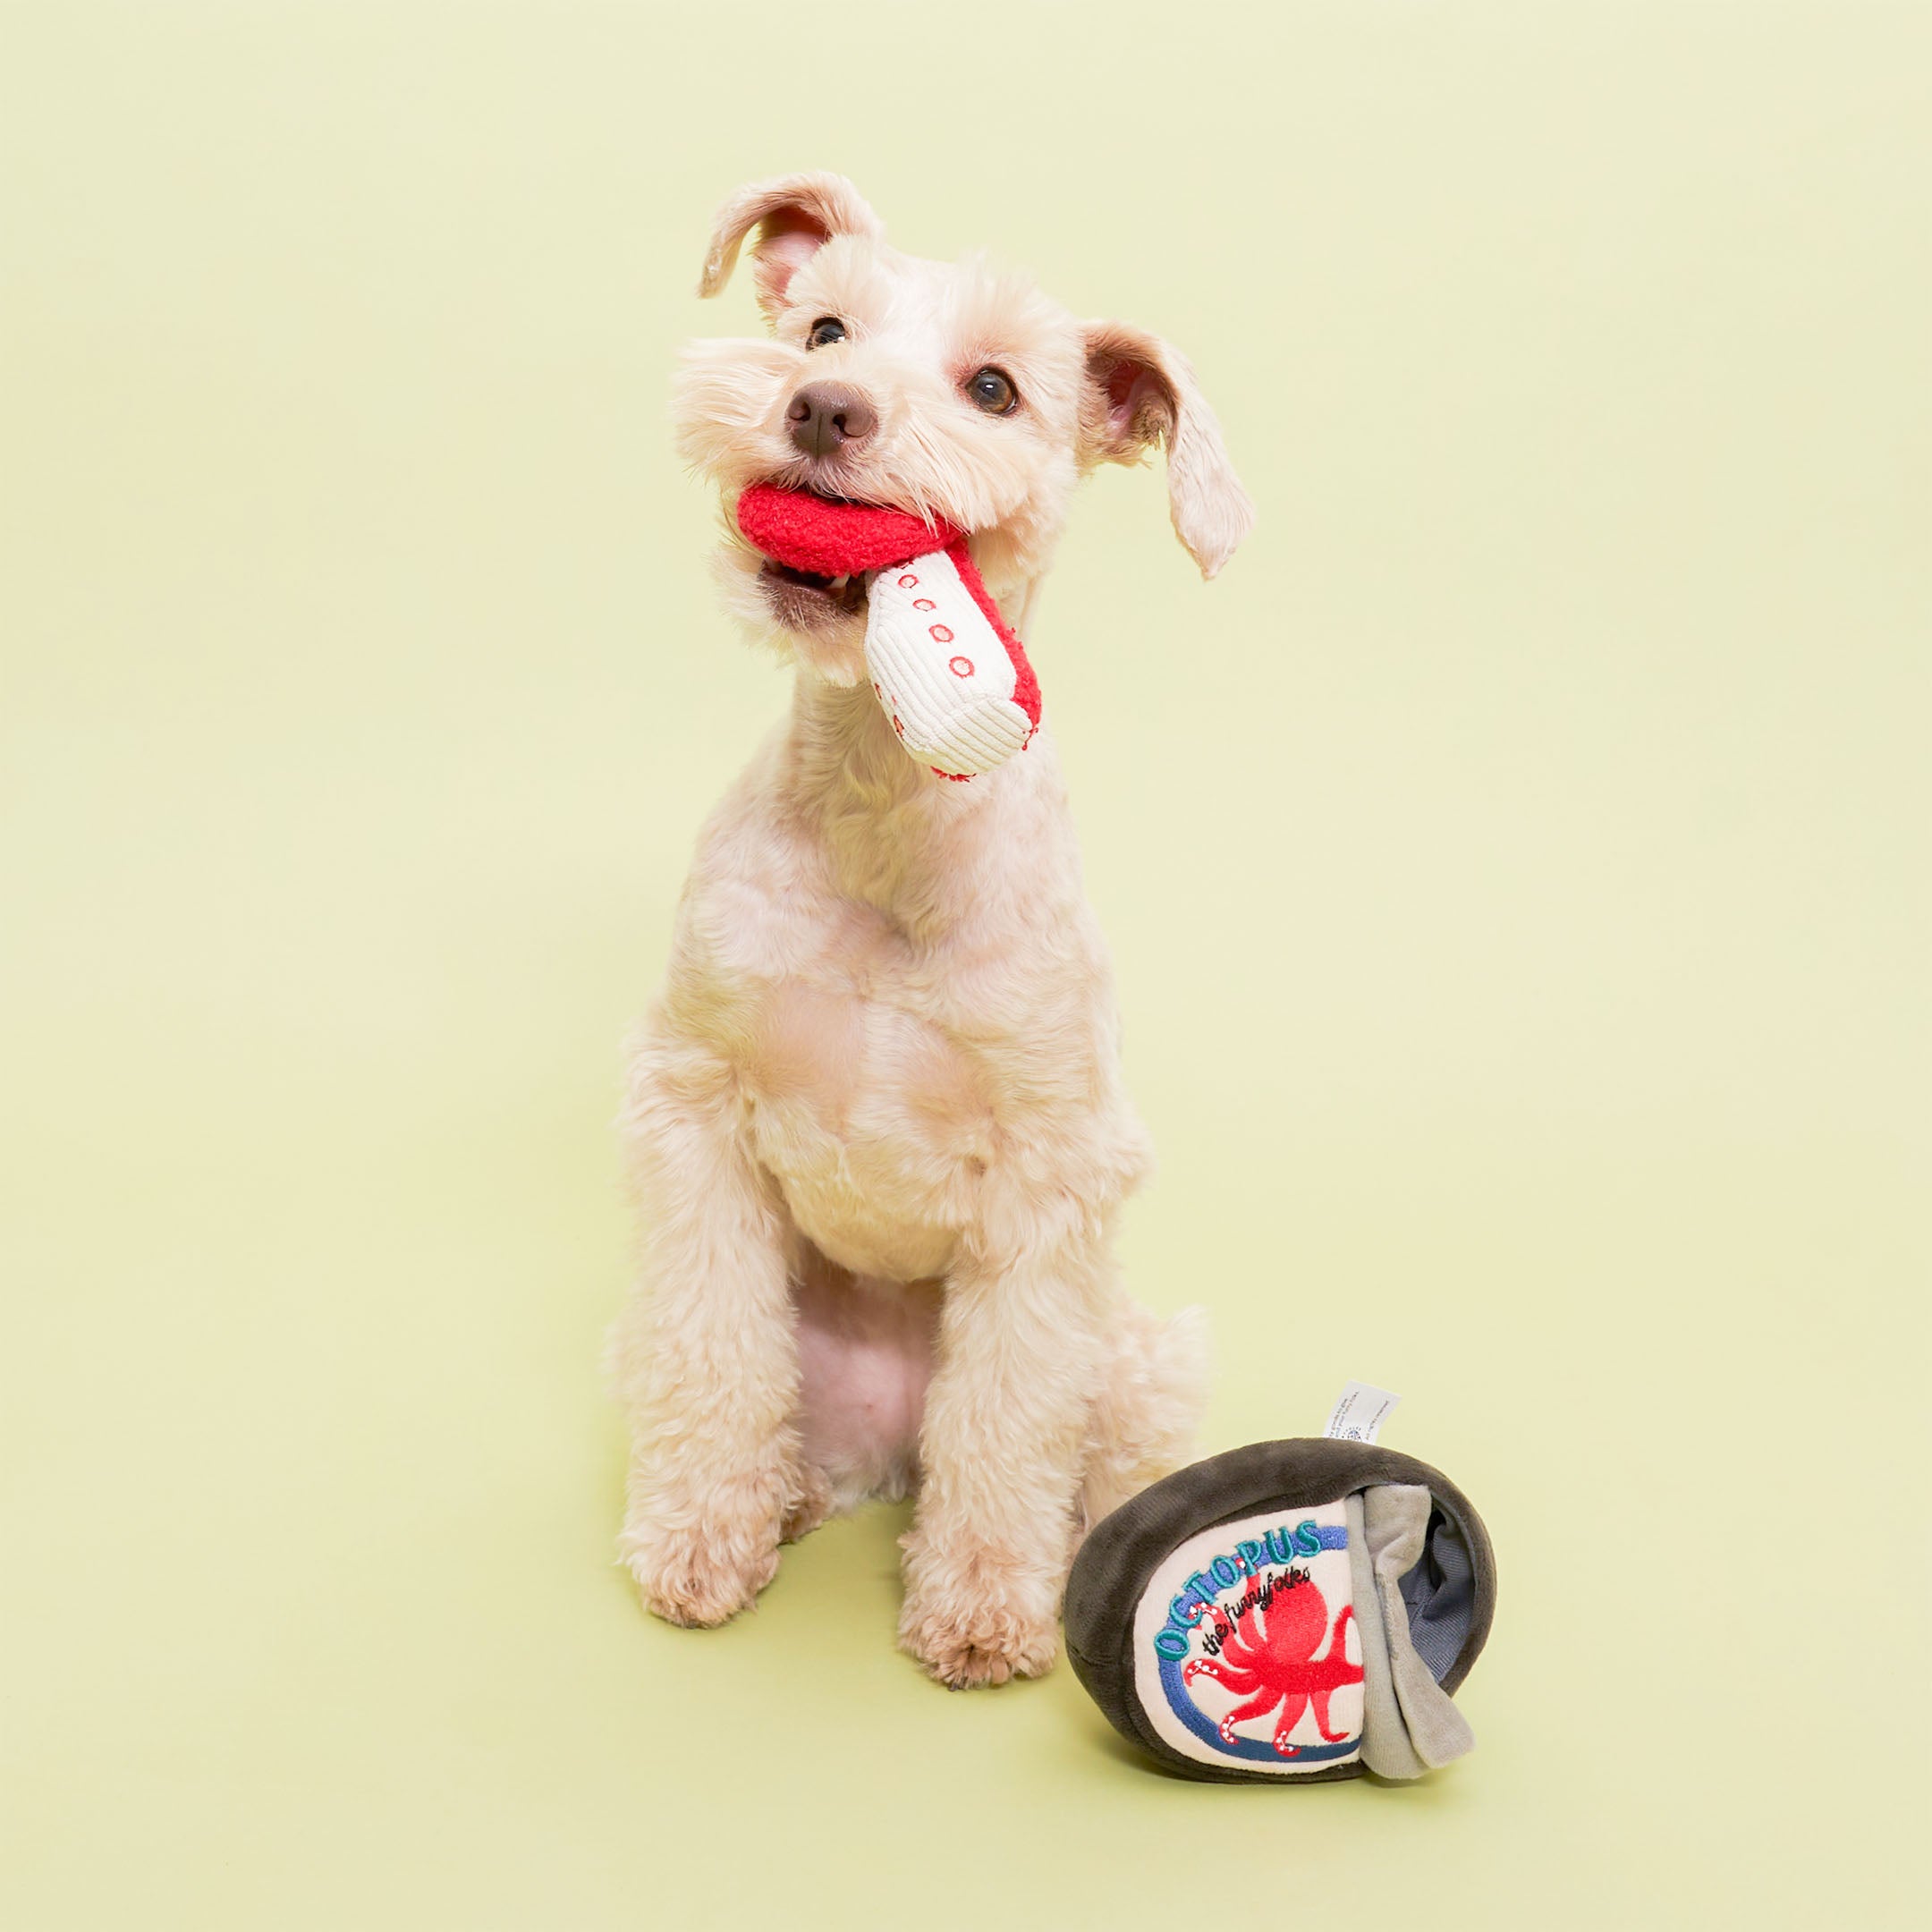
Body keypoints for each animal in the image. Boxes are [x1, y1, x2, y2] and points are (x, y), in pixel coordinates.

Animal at [610, 174, 1259, 1684]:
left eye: (995, 387)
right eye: (822, 326)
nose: (823, 406)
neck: (879, 802)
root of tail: (883, 1451)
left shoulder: (1051, 1182)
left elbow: (1008, 1421)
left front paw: (980, 1608)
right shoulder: (696, 1115)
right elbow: (712, 1356)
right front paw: (695, 1540)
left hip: (1137, 1356)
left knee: (1070, 1452)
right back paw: (777, 1495)